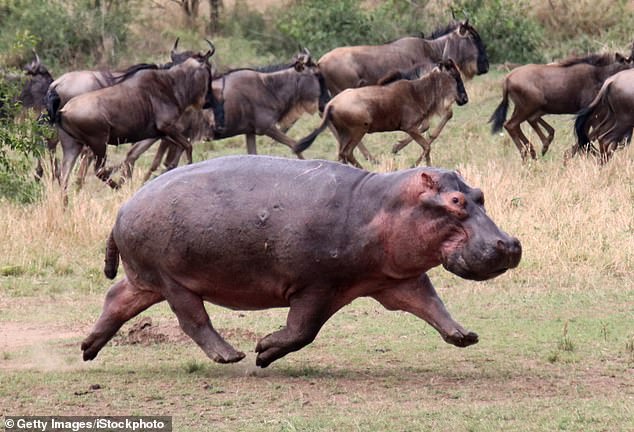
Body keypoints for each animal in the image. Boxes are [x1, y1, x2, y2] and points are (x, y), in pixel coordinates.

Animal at [82, 154, 520, 366]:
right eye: (456, 201)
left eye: (479, 194)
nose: (510, 244)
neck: (383, 205)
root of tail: (122, 208)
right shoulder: (317, 285)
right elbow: (302, 330)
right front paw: (263, 350)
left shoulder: (396, 279)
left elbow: (431, 304)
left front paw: (464, 336)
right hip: (173, 280)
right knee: (193, 320)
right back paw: (231, 355)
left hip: (146, 279)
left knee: (116, 299)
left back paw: (88, 348)